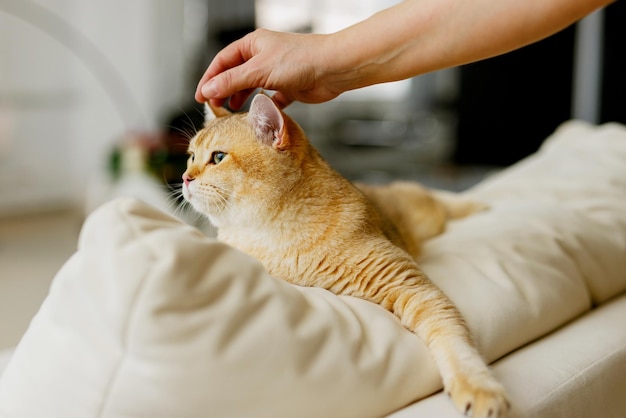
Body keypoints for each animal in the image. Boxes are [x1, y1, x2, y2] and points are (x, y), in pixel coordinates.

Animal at [179, 94, 508, 418]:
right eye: (191, 156)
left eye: (218, 157)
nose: (184, 178)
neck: (267, 236)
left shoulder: (410, 285)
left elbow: (453, 340)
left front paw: (479, 387)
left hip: (424, 214)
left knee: (436, 198)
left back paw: (476, 205)